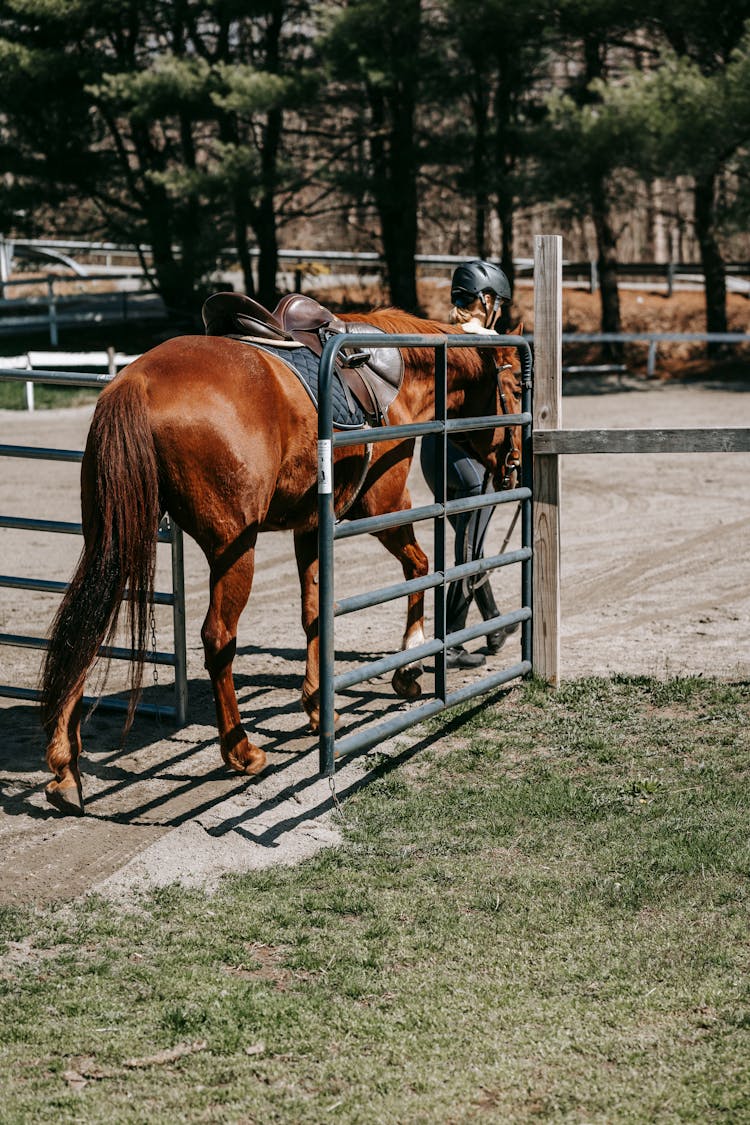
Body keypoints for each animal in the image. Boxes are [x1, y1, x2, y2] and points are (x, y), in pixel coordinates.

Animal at [39, 310, 521, 819]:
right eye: (515, 388)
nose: (515, 465)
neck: (397, 368)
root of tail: (136, 382)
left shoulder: (309, 528)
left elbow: (314, 613)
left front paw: (318, 707)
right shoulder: (386, 506)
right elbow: (421, 567)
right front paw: (407, 669)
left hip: (114, 539)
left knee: (84, 632)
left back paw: (65, 771)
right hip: (233, 549)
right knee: (217, 638)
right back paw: (241, 752)